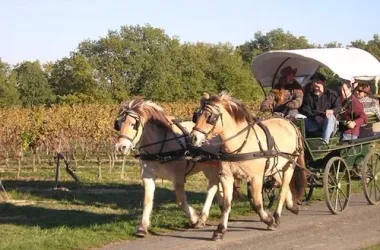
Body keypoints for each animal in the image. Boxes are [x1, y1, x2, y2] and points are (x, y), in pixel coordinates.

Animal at [114, 96, 235, 237]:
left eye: (134, 125)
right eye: (118, 124)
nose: (120, 147)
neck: (161, 145)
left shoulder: (178, 177)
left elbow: (181, 201)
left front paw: (194, 218)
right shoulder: (147, 176)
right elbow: (147, 202)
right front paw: (142, 227)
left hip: (214, 166)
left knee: (212, 188)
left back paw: (202, 217)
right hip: (208, 167)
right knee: (216, 186)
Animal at [189, 93, 308, 241]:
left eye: (210, 117)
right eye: (197, 115)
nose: (193, 138)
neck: (240, 144)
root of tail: (290, 123)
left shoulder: (256, 177)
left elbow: (257, 203)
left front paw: (269, 220)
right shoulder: (226, 177)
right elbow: (226, 204)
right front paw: (220, 230)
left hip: (289, 165)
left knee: (283, 188)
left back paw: (277, 216)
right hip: (275, 167)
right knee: (281, 184)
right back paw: (292, 206)